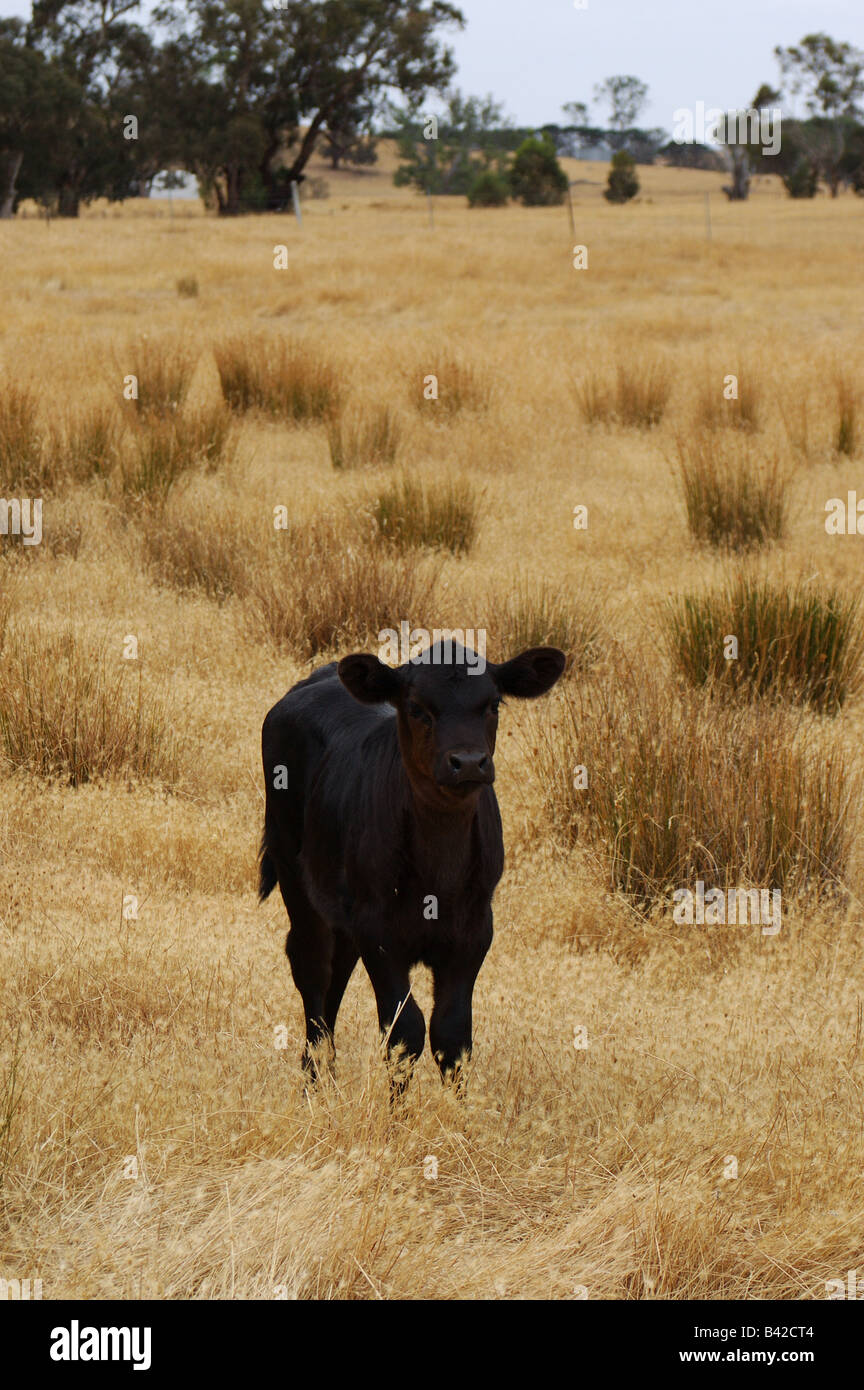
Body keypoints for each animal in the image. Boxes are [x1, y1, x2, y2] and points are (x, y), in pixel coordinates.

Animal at [258, 639, 565, 1092]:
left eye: (492, 704)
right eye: (418, 707)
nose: (468, 762)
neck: (439, 870)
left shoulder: (475, 931)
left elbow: (452, 1035)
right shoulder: (379, 930)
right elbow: (406, 1033)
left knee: (337, 970)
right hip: (294, 874)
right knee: (311, 965)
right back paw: (314, 1077)